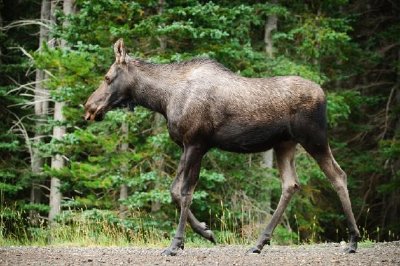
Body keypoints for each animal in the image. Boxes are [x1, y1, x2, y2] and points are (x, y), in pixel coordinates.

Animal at [83, 39, 360, 256]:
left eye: (107, 77)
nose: (88, 108)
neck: (162, 100)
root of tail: (324, 94)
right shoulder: (190, 145)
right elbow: (174, 191)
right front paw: (206, 231)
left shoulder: (196, 143)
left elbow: (184, 192)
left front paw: (175, 244)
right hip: (285, 144)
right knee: (290, 184)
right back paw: (260, 242)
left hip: (314, 138)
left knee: (338, 175)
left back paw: (353, 240)